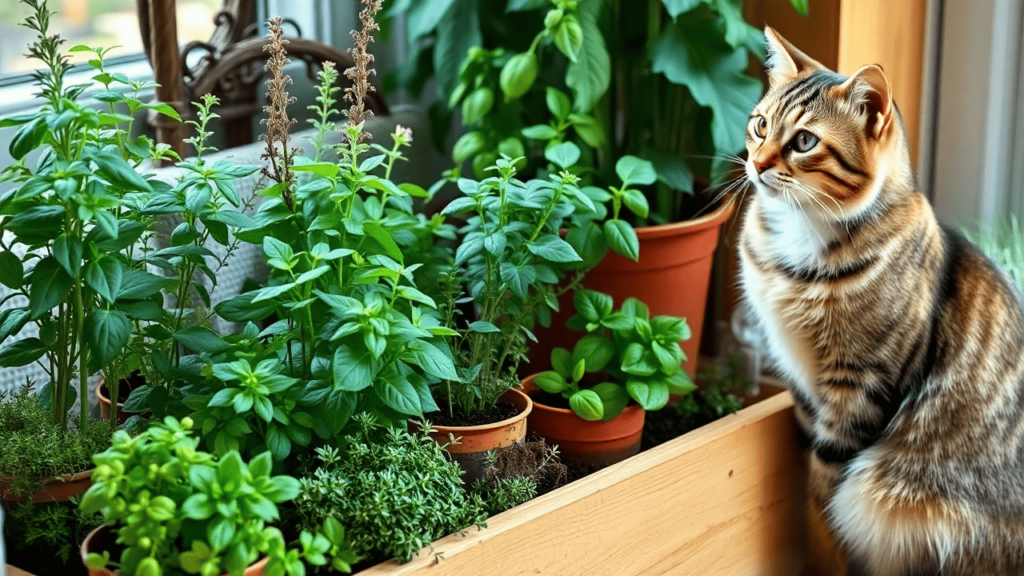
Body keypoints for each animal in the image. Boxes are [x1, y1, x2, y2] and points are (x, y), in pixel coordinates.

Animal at [741, 29, 1024, 573]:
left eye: (804, 141)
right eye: (761, 124)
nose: (757, 164)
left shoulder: (861, 385)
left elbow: (826, 493)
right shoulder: (804, 384)